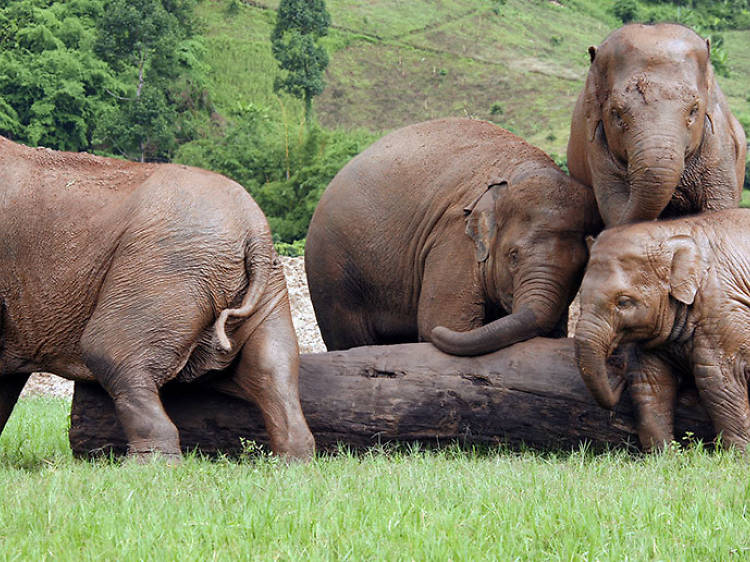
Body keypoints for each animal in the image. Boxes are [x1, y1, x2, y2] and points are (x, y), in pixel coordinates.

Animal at [0, 136, 314, 460]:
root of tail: (253, 231)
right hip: (265, 285)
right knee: (273, 365)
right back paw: (293, 461)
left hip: (163, 270)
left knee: (107, 350)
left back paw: (148, 463)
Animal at [302, 118, 604, 354]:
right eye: (513, 256)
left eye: (580, 269)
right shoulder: (454, 237)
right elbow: (446, 321)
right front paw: (437, 331)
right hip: (333, 271)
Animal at [568, 23, 748, 226]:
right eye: (616, 113)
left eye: (694, 110)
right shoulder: (595, 145)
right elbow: (613, 203)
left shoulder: (718, 140)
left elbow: (719, 204)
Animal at [580, 209, 750, 450]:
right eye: (580, 294)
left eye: (623, 302)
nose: (618, 380)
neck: (672, 232)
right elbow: (651, 383)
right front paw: (664, 454)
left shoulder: (722, 310)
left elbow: (721, 380)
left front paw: (739, 456)